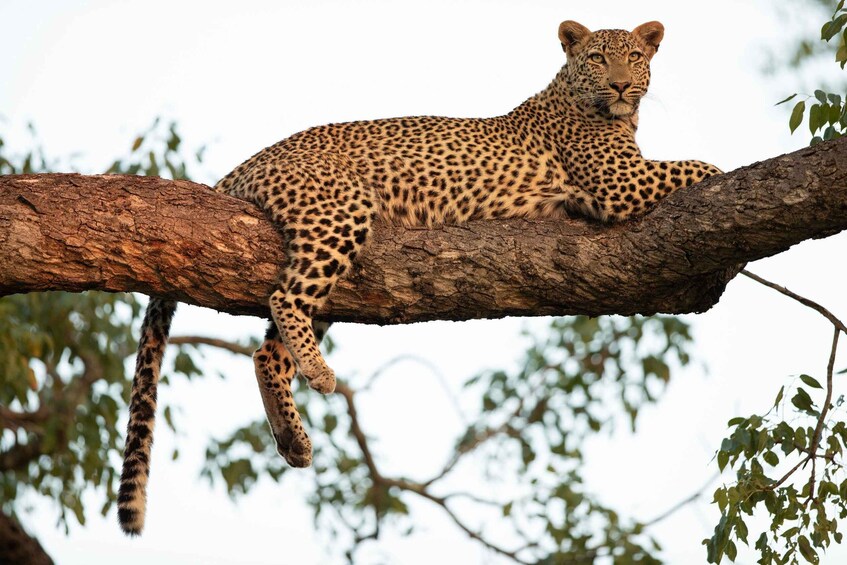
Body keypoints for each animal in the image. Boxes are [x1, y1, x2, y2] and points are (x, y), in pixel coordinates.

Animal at [117, 19, 722, 535]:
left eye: (635, 57)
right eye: (598, 58)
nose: (621, 85)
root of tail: (244, 164)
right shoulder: (621, 184)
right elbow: (703, 166)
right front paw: (725, 173)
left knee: (267, 350)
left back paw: (293, 438)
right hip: (340, 211)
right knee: (284, 297)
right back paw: (320, 374)